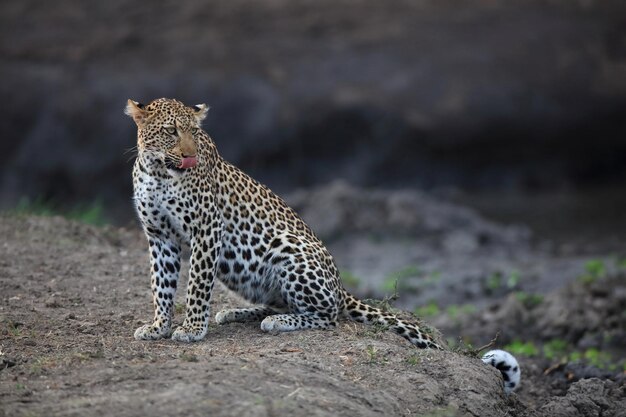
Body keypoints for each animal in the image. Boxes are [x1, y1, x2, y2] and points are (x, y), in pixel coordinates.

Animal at [124, 99, 520, 392]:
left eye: (194, 132)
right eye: (171, 132)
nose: (189, 156)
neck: (158, 172)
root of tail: (342, 286)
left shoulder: (208, 230)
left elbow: (196, 285)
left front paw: (191, 328)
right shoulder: (158, 236)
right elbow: (161, 285)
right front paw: (158, 326)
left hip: (287, 247)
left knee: (328, 315)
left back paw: (278, 322)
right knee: (281, 301)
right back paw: (238, 312)